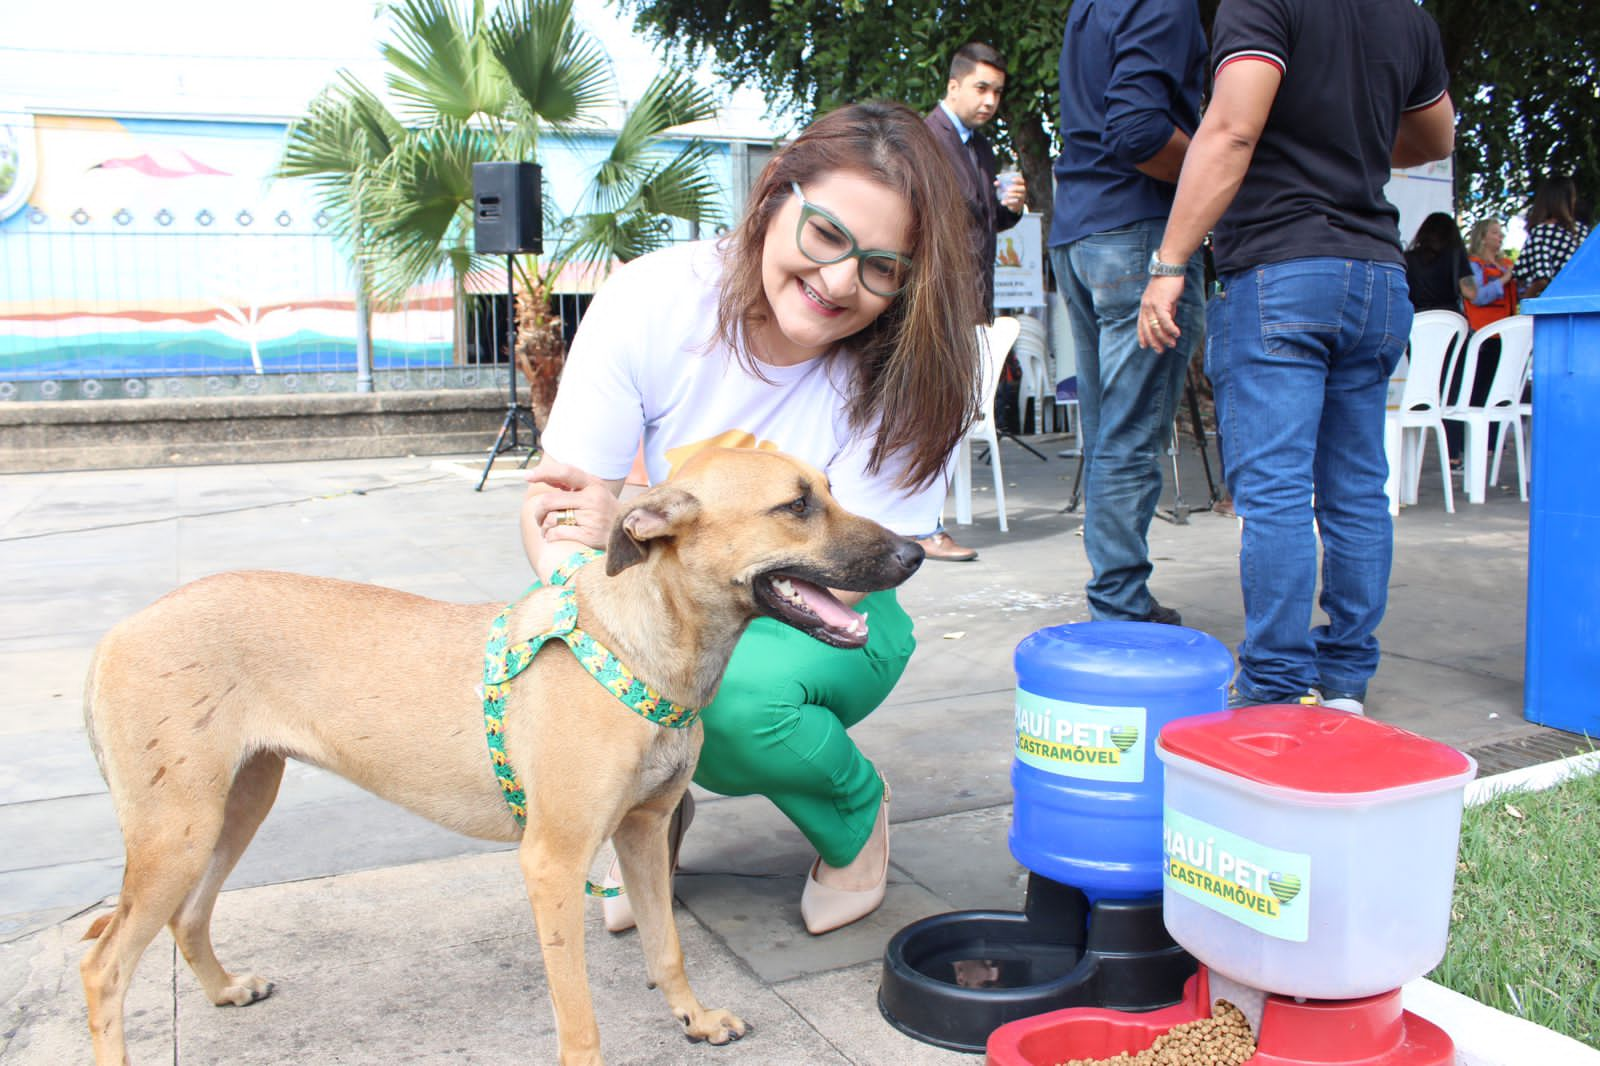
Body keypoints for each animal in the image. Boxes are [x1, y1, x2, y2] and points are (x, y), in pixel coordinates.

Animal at [78, 444, 928, 1062]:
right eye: (796, 506)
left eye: (831, 487)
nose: (916, 553)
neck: (641, 644)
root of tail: (116, 633)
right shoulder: (552, 863)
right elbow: (578, 1013)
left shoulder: (644, 835)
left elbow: (668, 949)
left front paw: (693, 1018)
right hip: (178, 831)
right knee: (106, 966)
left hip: (235, 806)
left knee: (187, 916)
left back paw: (224, 990)